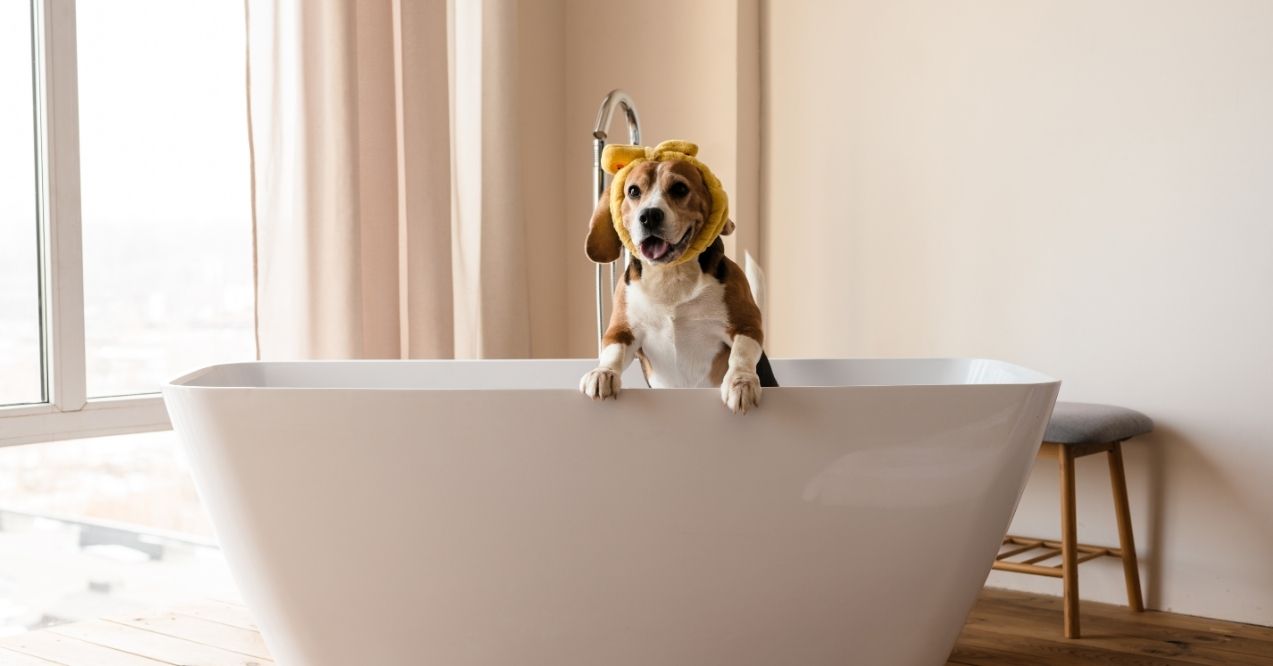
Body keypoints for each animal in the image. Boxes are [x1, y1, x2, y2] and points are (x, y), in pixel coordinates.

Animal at [580, 143, 773, 415]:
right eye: (633, 191)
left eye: (680, 188)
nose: (649, 216)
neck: (670, 274)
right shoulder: (621, 330)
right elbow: (612, 353)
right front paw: (602, 373)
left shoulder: (747, 323)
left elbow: (741, 355)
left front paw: (741, 382)